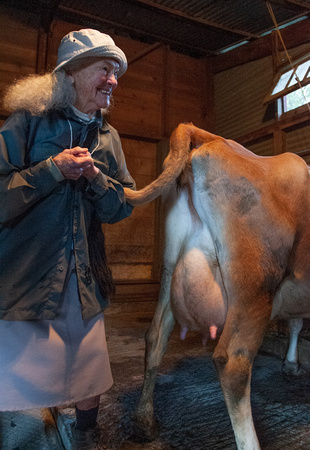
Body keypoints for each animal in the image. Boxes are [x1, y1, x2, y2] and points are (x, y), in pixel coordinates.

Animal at [123, 123, 310, 450]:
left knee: (155, 336)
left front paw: (290, 364)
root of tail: (210, 138)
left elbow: (296, 321)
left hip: (171, 267)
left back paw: (144, 422)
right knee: (232, 361)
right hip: (255, 285)